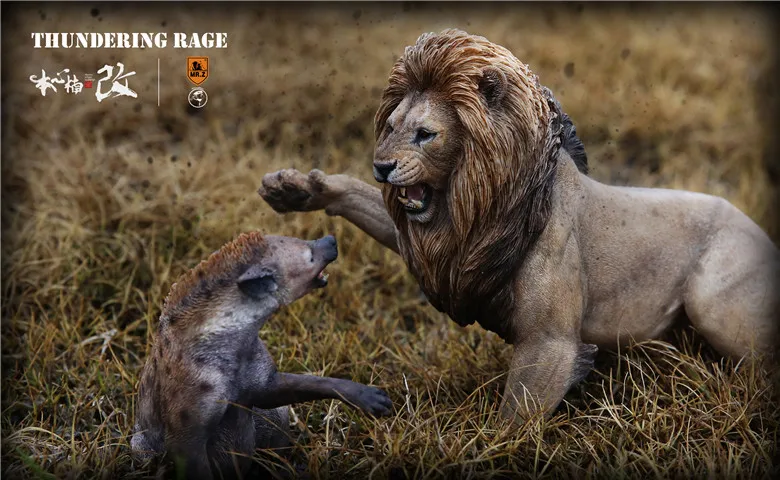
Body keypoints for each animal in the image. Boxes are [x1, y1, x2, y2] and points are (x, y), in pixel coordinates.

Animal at [259, 29, 779, 421]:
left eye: (425, 134)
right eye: (390, 125)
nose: (382, 167)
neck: (482, 206)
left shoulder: (549, 344)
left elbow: (512, 421)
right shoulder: (438, 241)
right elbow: (359, 200)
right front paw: (295, 189)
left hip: (717, 306)